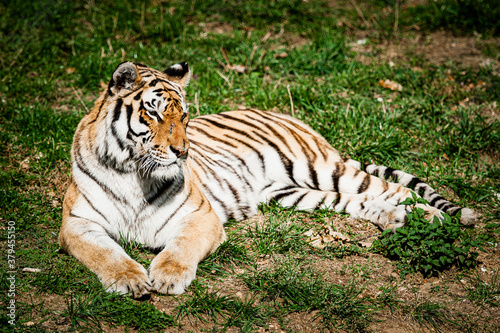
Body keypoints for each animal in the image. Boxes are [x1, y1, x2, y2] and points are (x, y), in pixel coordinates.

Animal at [58, 61, 476, 296]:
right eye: (154, 113)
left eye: (184, 116)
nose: (182, 152)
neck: (133, 171)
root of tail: (289, 116)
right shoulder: (78, 224)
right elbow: (106, 253)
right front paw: (129, 280)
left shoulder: (200, 217)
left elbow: (179, 249)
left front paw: (167, 277)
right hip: (298, 193)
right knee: (363, 202)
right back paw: (398, 219)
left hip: (324, 170)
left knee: (394, 187)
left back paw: (430, 217)